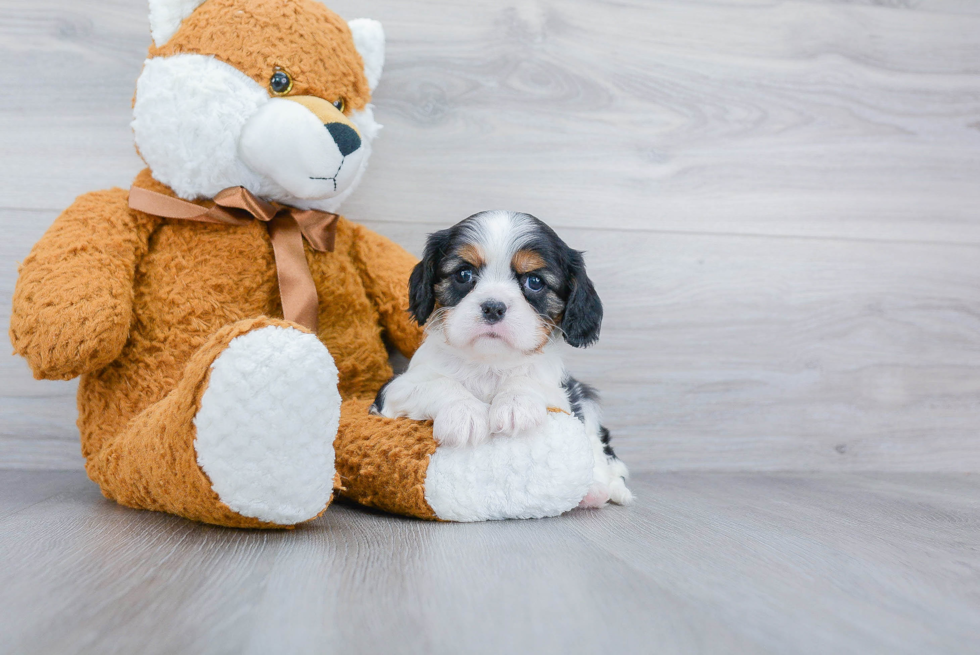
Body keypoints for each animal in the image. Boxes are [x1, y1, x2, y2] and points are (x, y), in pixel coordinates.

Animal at [372, 210, 632, 508]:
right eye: (464, 274)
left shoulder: (561, 396)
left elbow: (527, 381)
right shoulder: (395, 388)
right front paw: (464, 412)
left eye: (535, 282)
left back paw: (601, 489)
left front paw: (514, 404)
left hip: (584, 400)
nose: (493, 307)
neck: (489, 363)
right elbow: (438, 384)